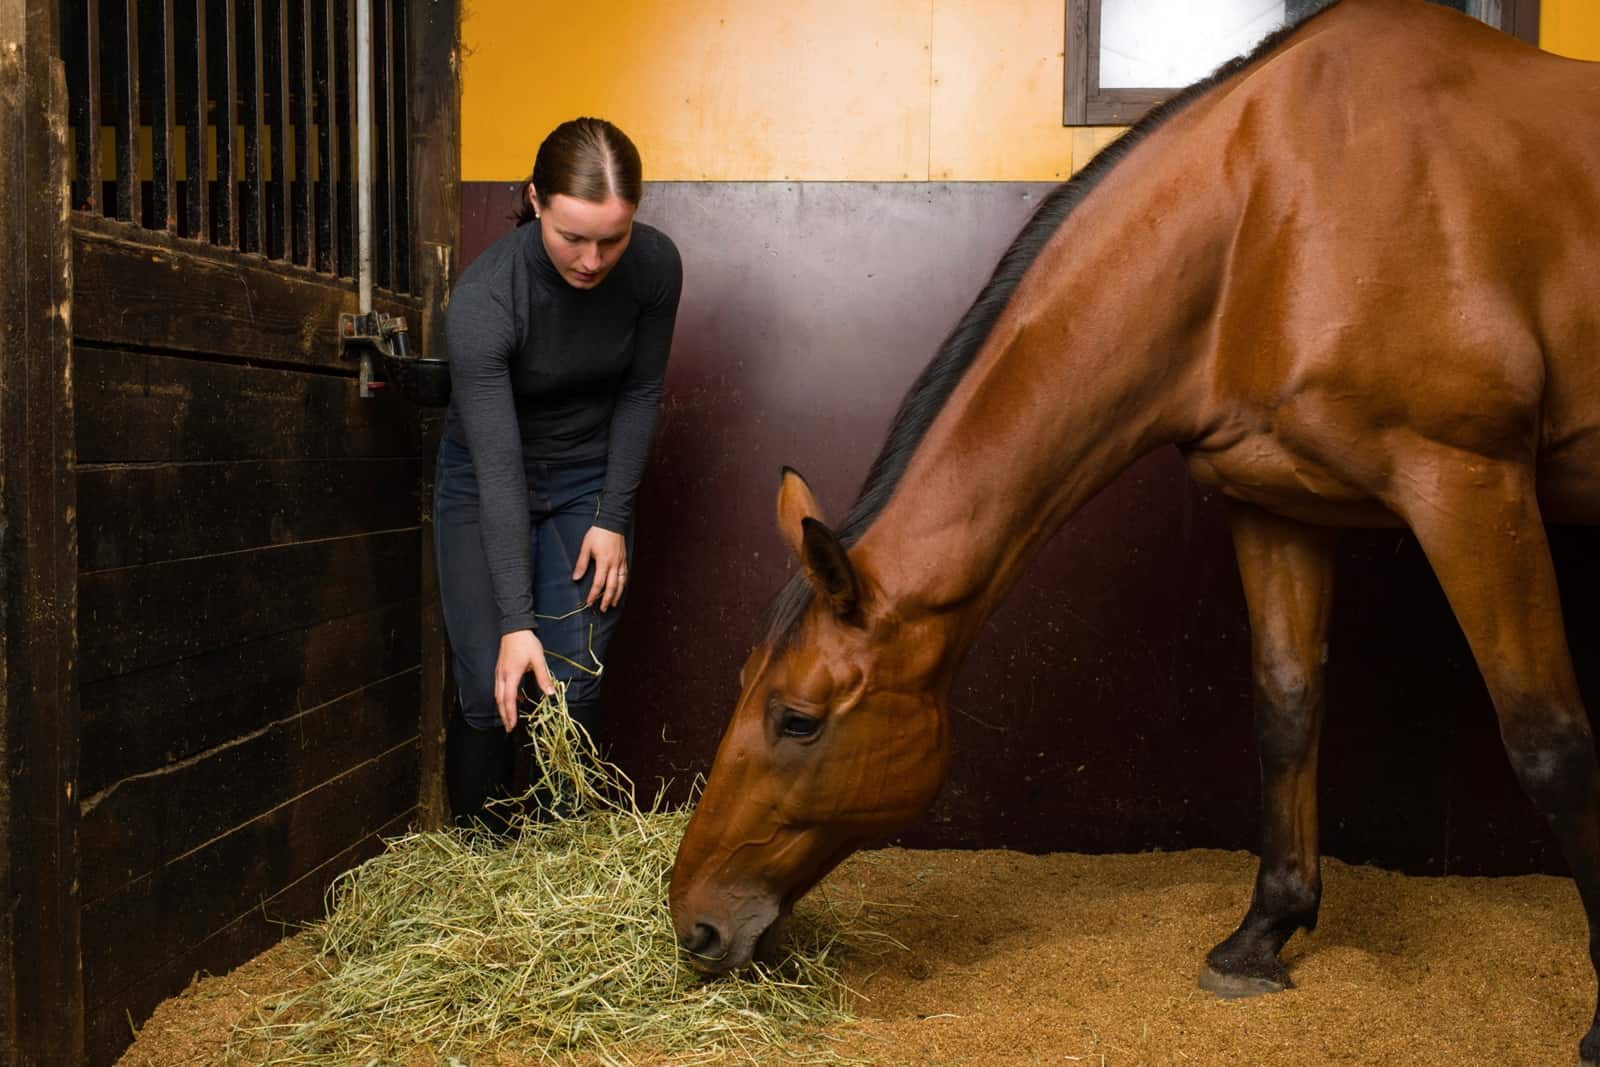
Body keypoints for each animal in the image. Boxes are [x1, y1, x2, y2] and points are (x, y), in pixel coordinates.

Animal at [668, 0, 1600, 1058]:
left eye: (797, 718)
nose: (695, 921)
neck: (1275, 213)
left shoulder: (1470, 484)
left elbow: (1550, 741)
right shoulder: (1275, 503)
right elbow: (1286, 708)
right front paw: (1262, 934)